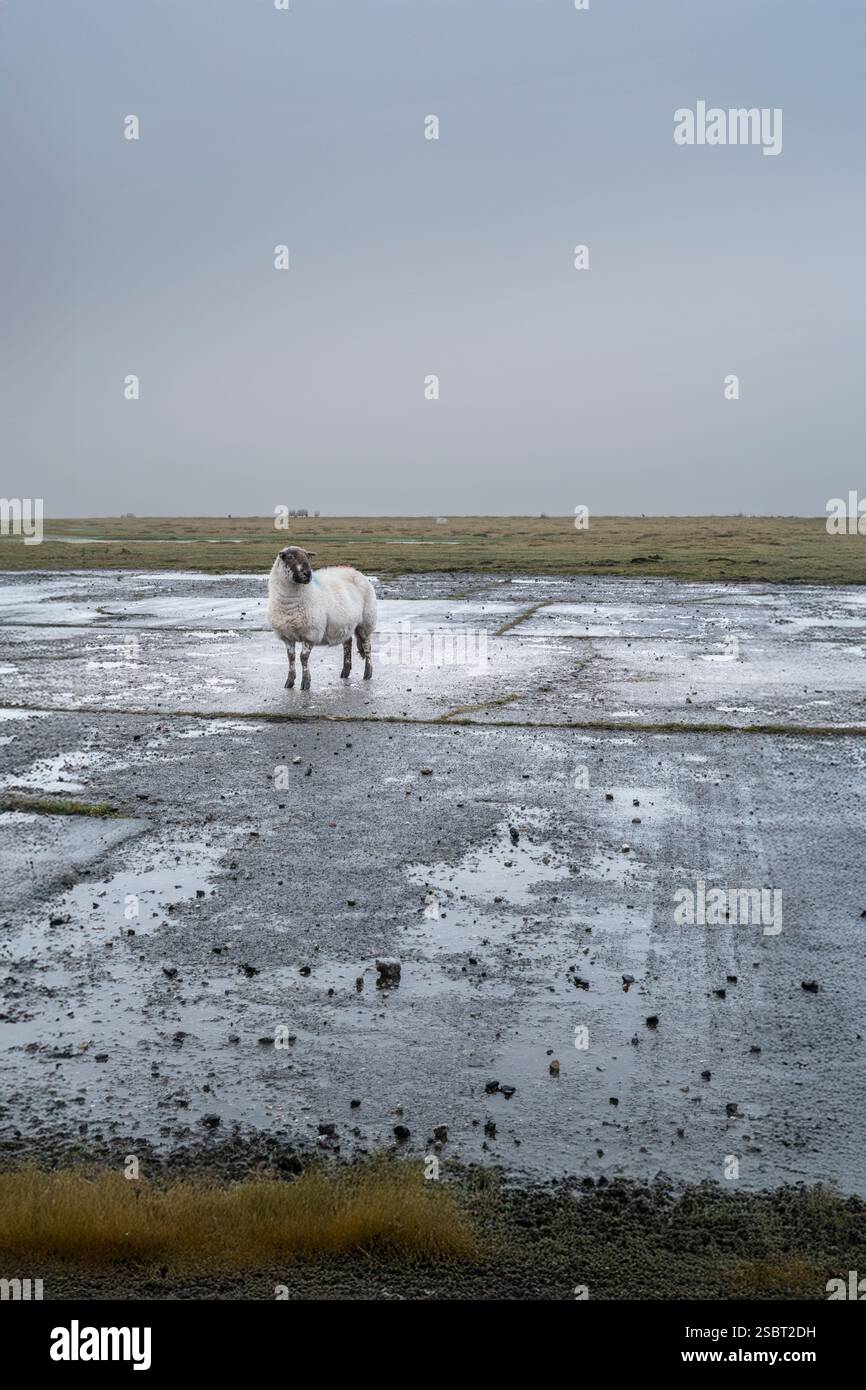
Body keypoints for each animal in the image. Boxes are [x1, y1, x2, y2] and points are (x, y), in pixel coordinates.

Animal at [267, 546, 377, 690]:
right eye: (290, 557)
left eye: (307, 557)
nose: (308, 574)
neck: (289, 605)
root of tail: (354, 570)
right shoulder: (287, 636)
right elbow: (291, 658)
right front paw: (289, 682)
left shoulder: (310, 633)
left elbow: (303, 658)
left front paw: (306, 683)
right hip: (346, 623)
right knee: (347, 644)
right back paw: (345, 672)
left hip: (366, 621)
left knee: (367, 646)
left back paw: (368, 673)